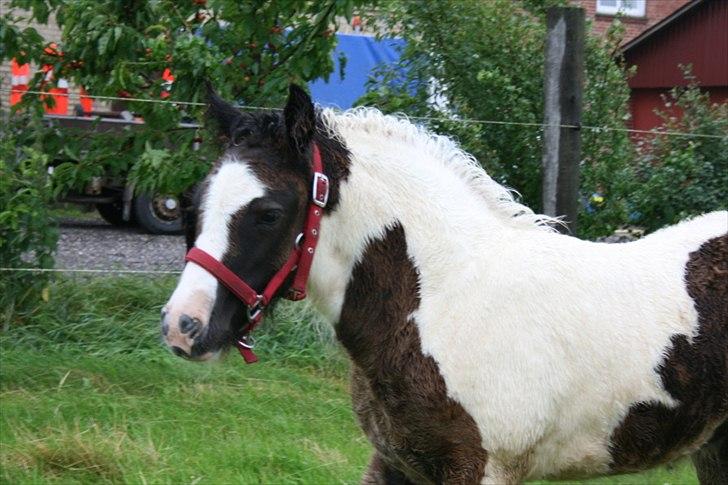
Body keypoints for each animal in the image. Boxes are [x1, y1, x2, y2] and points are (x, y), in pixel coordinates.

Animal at [162, 87, 724, 484]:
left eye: (269, 213)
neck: (443, 298)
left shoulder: (479, 467)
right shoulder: (397, 463)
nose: (182, 325)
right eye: (195, 200)